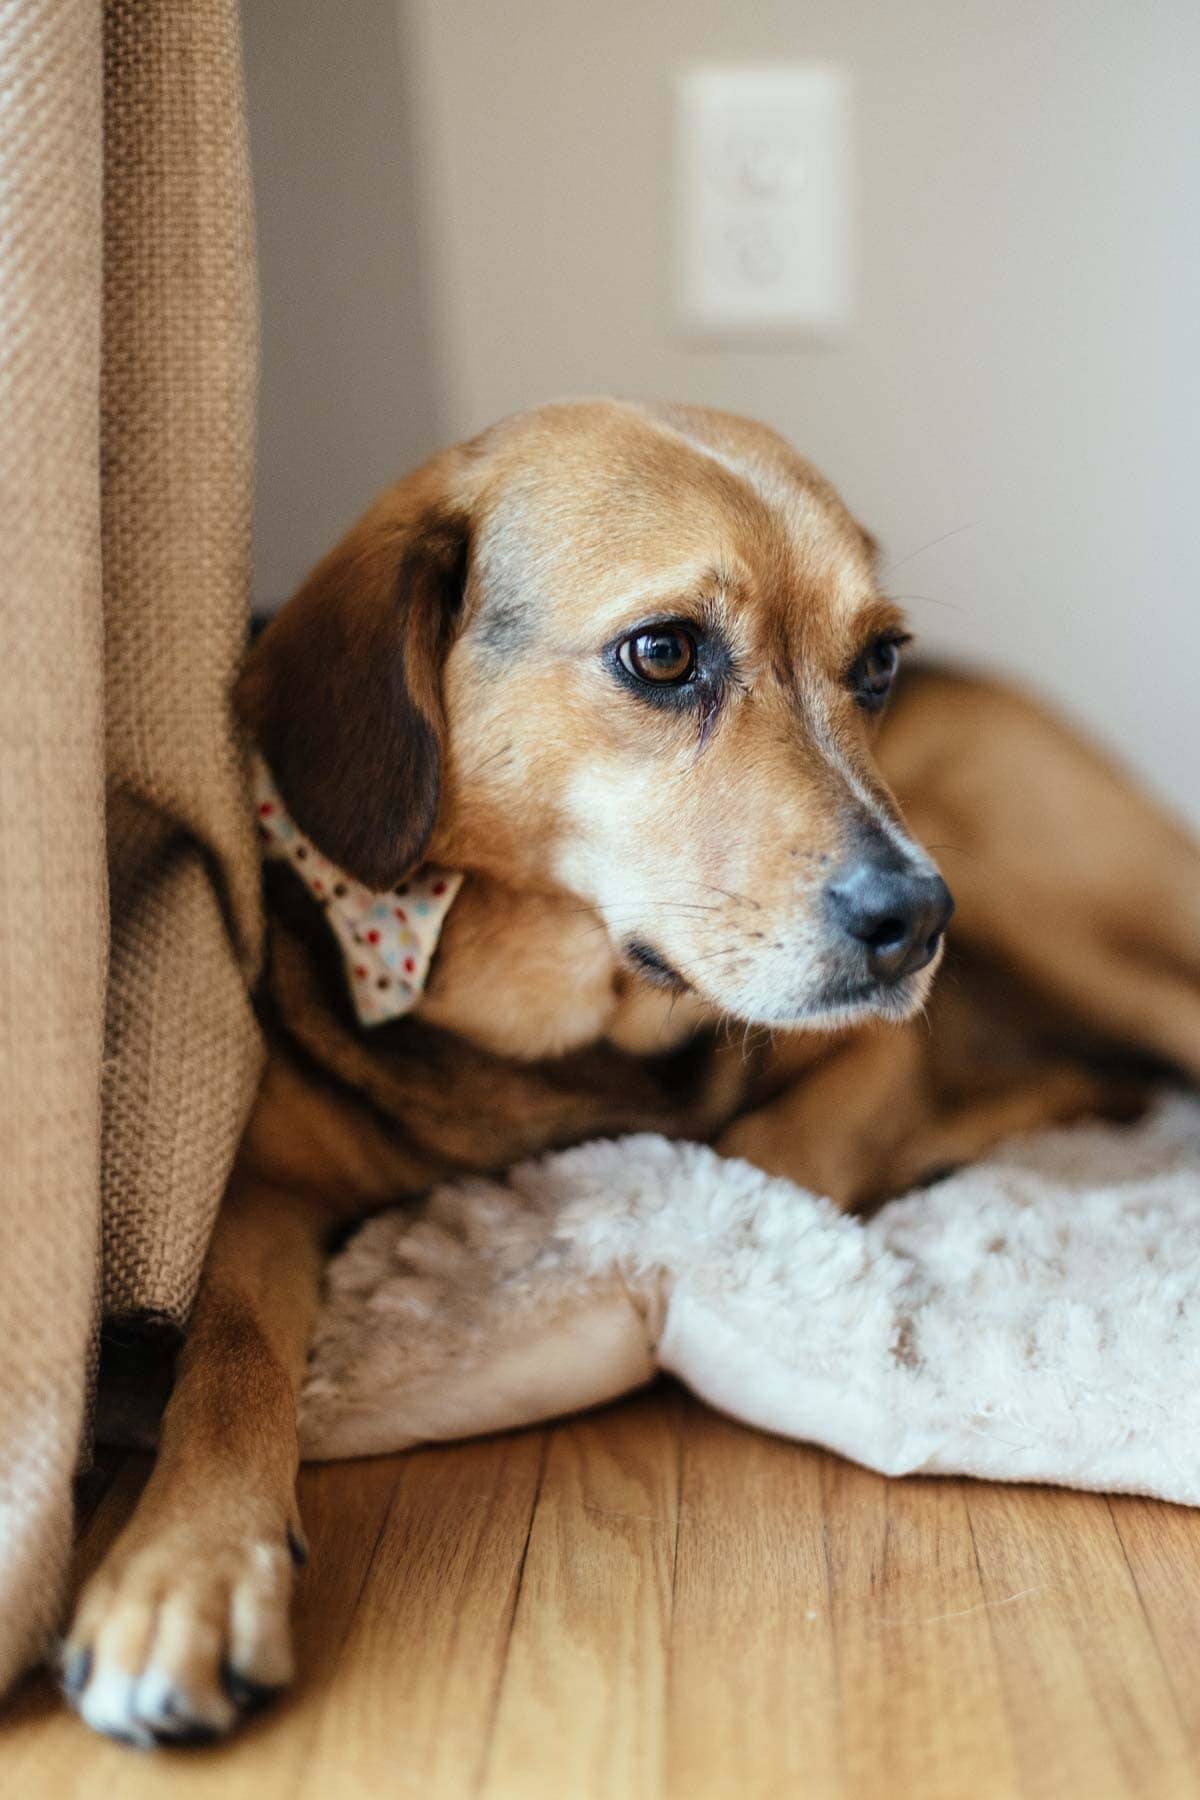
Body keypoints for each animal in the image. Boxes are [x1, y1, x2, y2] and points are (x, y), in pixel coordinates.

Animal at [63, 405, 1200, 1742]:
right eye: (663, 654)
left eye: (877, 663)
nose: (920, 921)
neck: (551, 1029)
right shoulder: (253, 1194)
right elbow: (228, 1357)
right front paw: (182, 1568)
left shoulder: (876, 1050)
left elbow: (768, 1158)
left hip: (1036, 884)